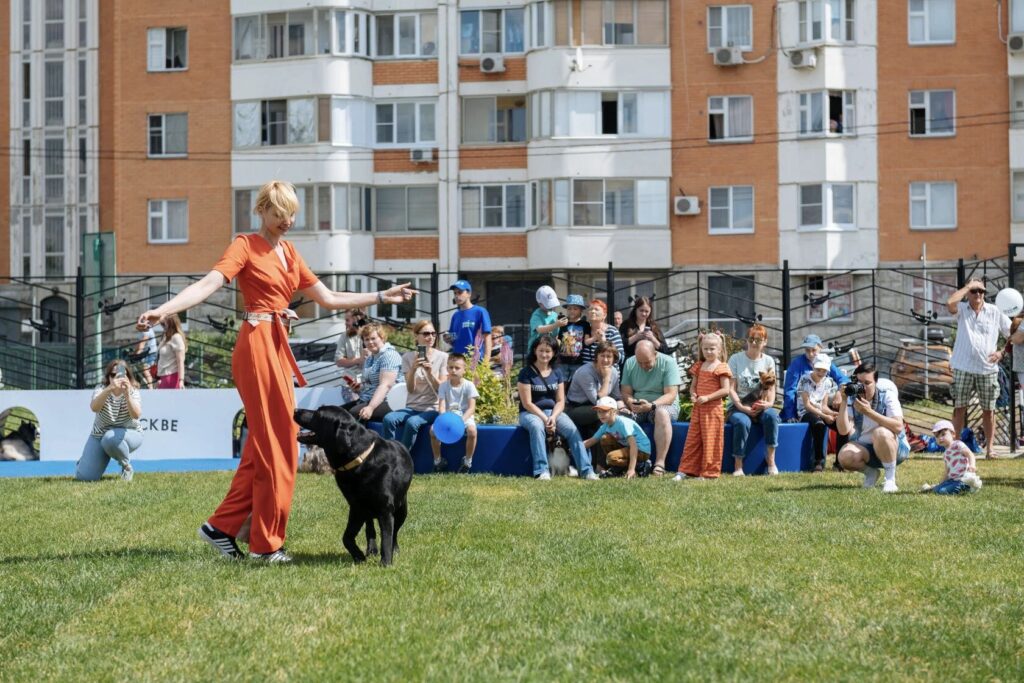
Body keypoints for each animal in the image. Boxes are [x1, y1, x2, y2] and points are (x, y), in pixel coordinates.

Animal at [294, 405, 413, 566]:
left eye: (318, 413)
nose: (295, 410)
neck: (359, 460)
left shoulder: (385, 509)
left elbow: (387, 538)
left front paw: (386, 563)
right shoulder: (357, 508)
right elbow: (347, 537)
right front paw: (359, 556)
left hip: (402, 508)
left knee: (394, 532)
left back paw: (394, 550)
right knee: (370, 528)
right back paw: (371, 549)